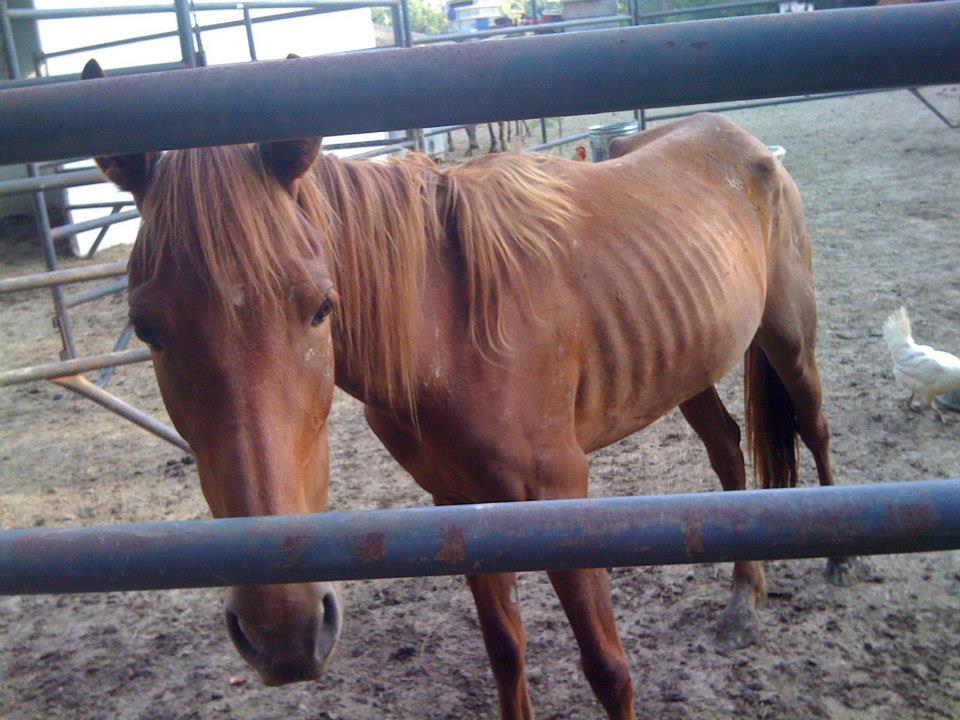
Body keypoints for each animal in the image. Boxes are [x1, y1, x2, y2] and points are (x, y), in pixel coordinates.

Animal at [85, 57, 854, 720]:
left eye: (321, 307)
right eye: (145, 327)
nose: (284, 628)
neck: (444, 327)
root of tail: (743, 141)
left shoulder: (559, 496)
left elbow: (607, 667)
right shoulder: (458, 504)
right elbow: (505, 652)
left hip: (789, 339)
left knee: (813, 426)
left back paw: (841, 557)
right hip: (685, 366)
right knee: (727, 453)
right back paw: (744, 598)